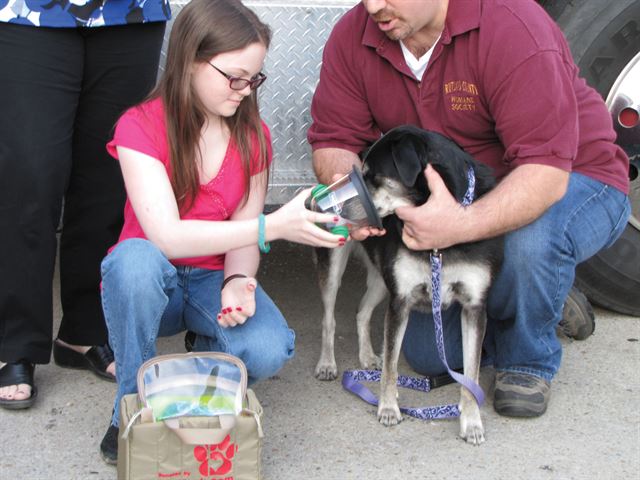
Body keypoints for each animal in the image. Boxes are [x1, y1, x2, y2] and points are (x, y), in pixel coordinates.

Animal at [316, 125, 504, 444]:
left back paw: (367, 355)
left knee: (362, 313)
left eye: (373, 175)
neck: (442, 245)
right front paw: (388, 408)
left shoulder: (474, 307)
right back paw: (327, 363)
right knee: (328, 318)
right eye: (359, 174)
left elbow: (471, 374)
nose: (339, 206)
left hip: (381, 280)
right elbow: (392, 365)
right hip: (333, 266)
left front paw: (472, 422)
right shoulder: (400, 301)